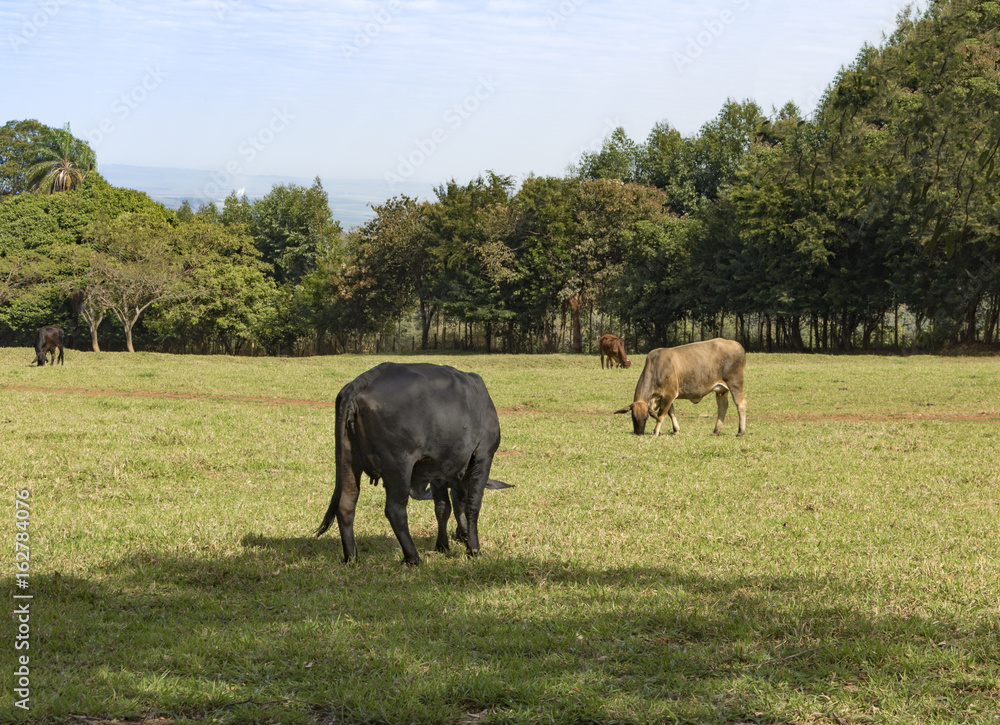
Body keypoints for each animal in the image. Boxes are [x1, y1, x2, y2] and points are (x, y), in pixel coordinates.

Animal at [314, 362, 516, 564]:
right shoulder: (484, 455)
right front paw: (474, 549)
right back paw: (413, 557)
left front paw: (442, 546)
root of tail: (367, 379)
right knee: (395, 510)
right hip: (398, 465)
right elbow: (472, 505)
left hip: (349, 461)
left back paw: (351, 557)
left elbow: (443, 507)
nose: (460, 536)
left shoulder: (439, 471)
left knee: (346, 505)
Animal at [612, 336, 748, 436]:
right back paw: (716, 431)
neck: (655, 367)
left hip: (735, 383)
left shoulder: (669, 394)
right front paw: (676, 430)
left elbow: (661, 414)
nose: (639, 433)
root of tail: (737, 344)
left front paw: (655, 432)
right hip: (721, 389)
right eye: (633, 417)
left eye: (646, 417)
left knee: (740, 404)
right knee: (722, 407)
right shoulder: (665, 396)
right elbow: (671, 413)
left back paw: (740, 432)